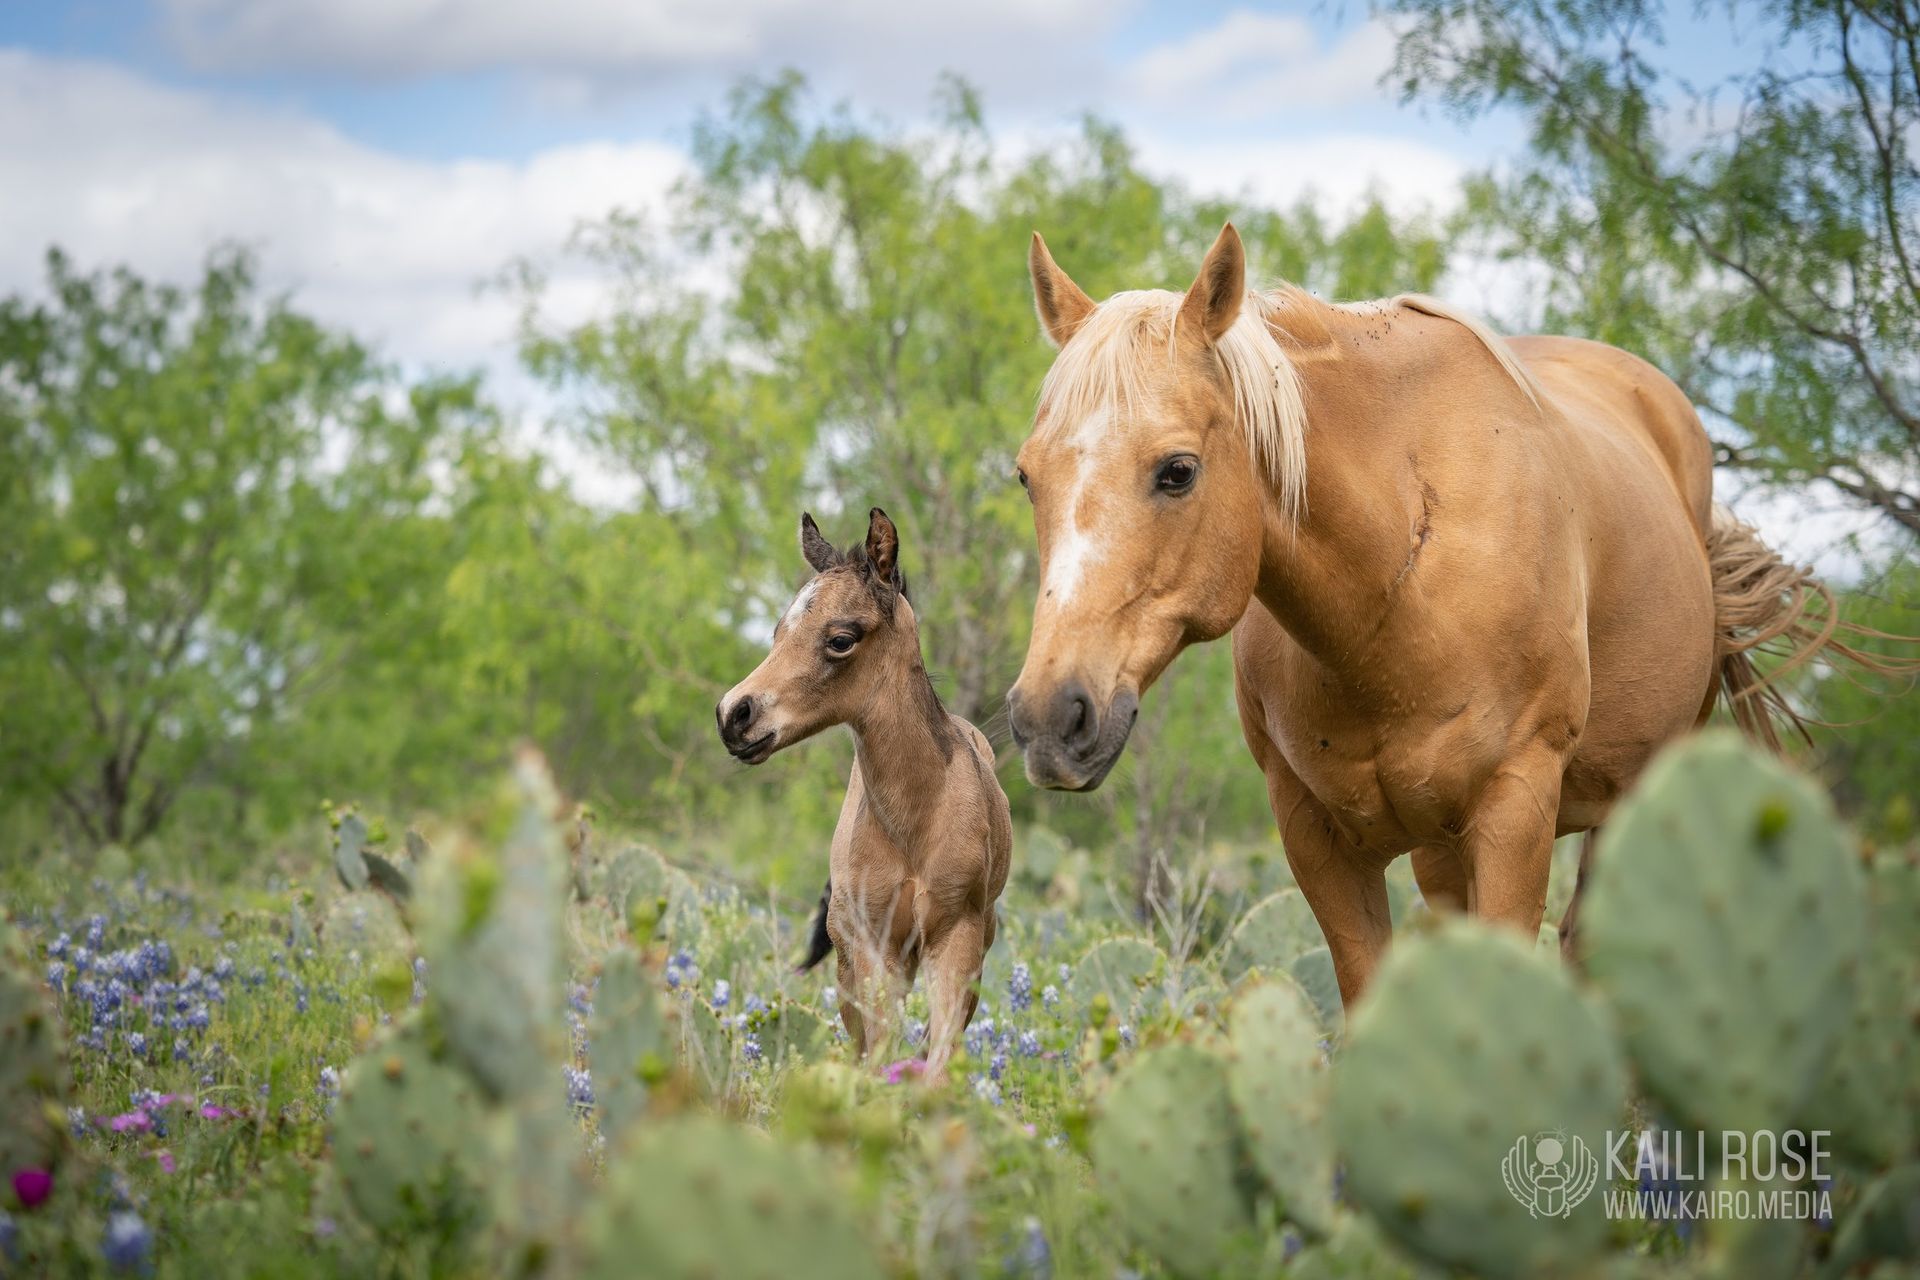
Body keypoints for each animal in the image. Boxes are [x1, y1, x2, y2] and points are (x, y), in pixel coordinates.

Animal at [717, 508, 1012, 1078]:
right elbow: (880, 1052)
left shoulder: (957, 938)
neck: (916, 819)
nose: (734, 715)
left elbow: (938, 1059)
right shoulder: (871, 947)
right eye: (778, 631)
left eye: (841, 638)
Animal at [1005, 222, 1909, 1010]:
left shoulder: (1516, 814)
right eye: (1025, 476)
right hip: (1442, 851)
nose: (1050, 716)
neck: (1391, 599)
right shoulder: (1315, 838)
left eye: (1178, 470)